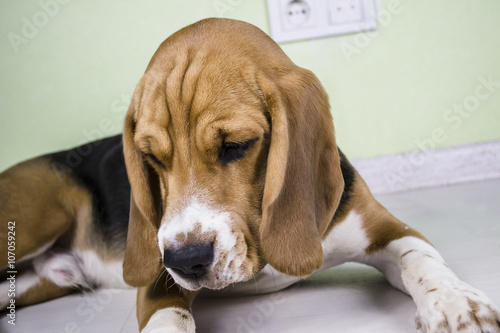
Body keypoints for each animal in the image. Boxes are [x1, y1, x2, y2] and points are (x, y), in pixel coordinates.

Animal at [0, 18, 500, 332]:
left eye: (235, 146)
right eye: (151, 159)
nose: (185, 260)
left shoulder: (387, 229)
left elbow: (422, 261)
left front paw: (457, 304)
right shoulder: (156, 278)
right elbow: (169, 319)